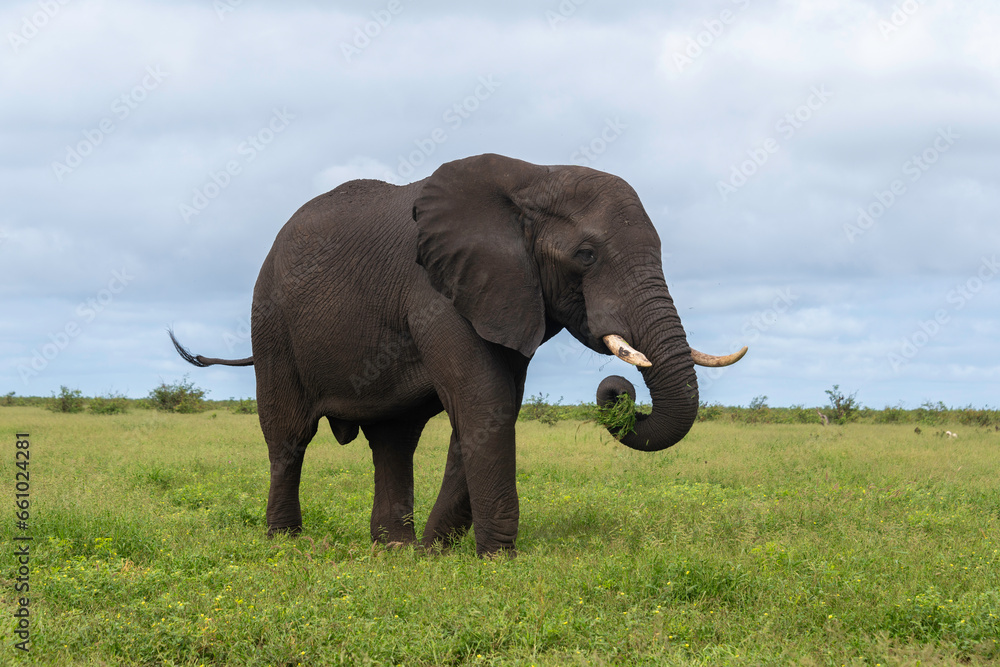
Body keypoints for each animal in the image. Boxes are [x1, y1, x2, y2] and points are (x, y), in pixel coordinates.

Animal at [170, 153, 746, 557]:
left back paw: (393, 549)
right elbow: (484, 403)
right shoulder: (437, 292)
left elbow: (490, 409)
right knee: (289, 435)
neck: (534, 176)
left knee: (393, 441)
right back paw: (290, 545)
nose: (617, 391)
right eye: (586, 255)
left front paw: (436, 554)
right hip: (271, 322)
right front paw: (495, 562)